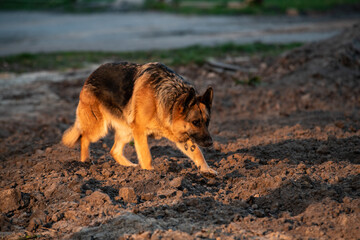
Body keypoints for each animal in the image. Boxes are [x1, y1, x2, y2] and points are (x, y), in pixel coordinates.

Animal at [62, 61, 217, 174]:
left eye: (207, 122)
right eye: (195, 122)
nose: (210, 143)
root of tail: (91, 74)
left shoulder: (182, 137)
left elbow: (197, 153)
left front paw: (206, 170)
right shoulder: (140, 131)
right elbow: (146, 156)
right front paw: (149, 173)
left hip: (127, 131)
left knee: (114, 151)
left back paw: (130, 167)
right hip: (99, 128)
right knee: (84, 137)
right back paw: (85, 162)